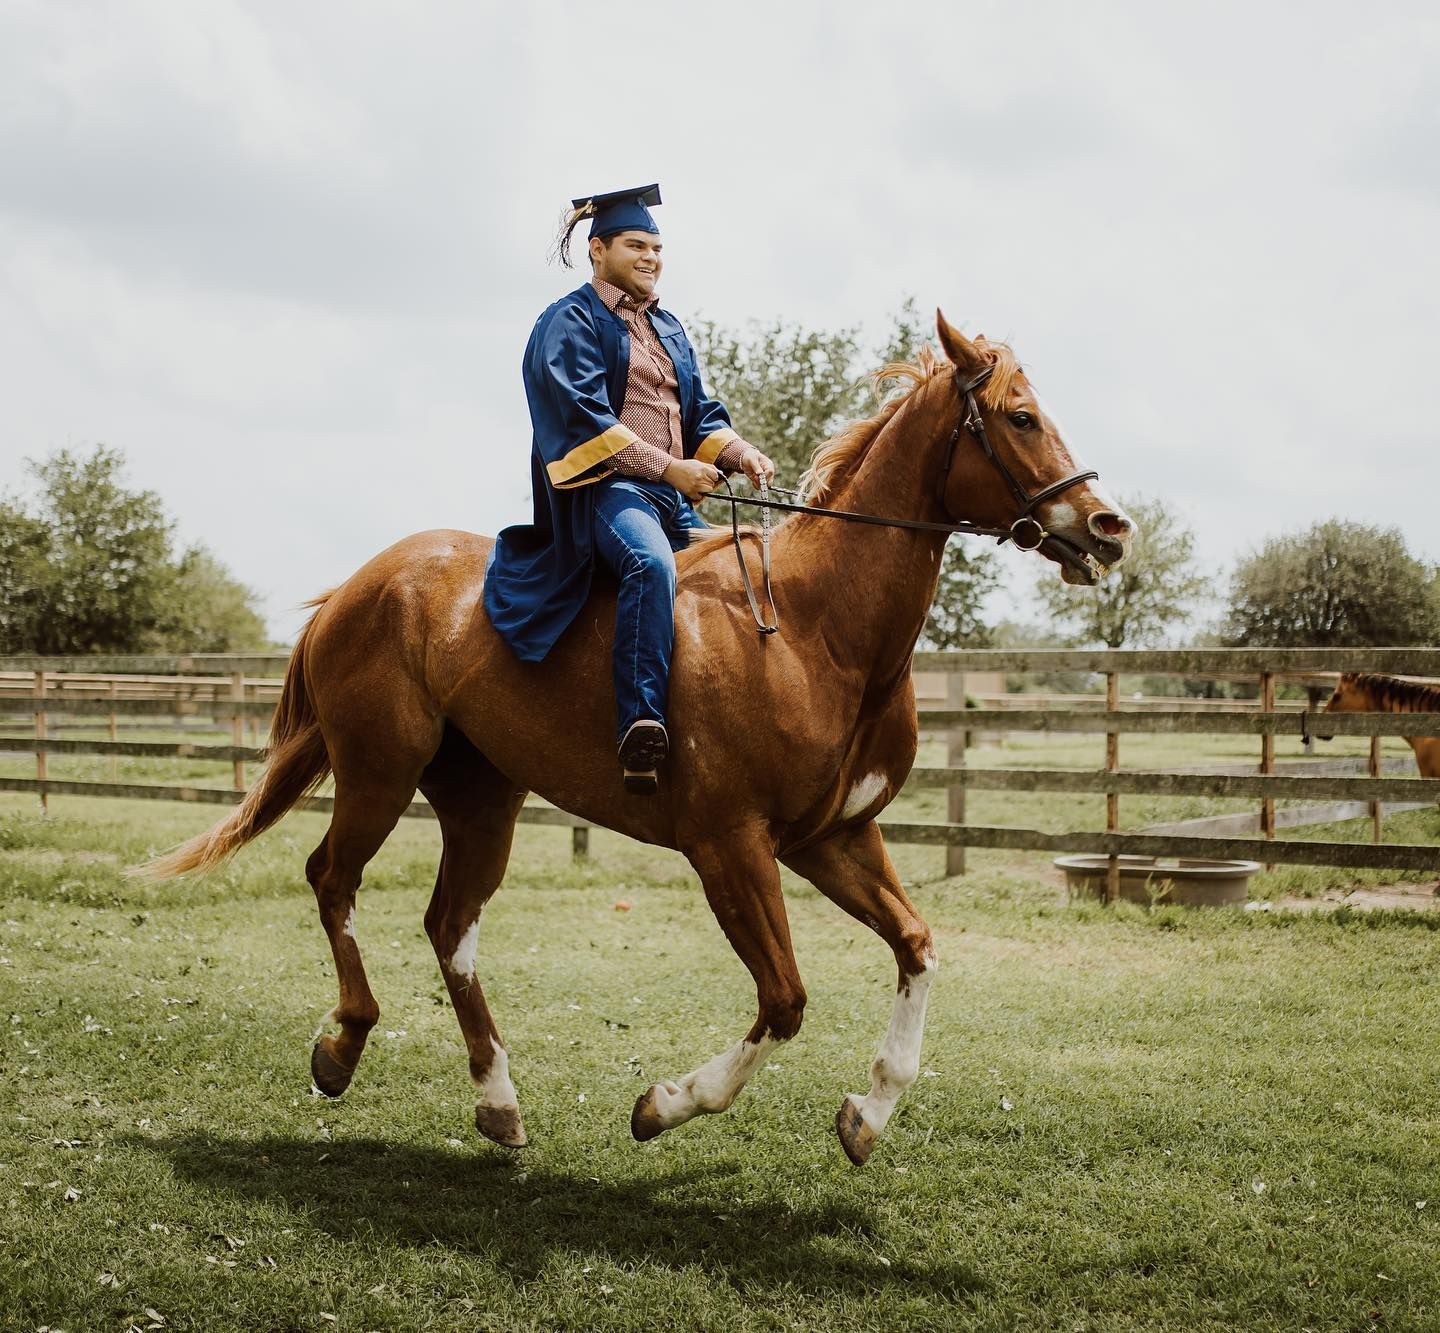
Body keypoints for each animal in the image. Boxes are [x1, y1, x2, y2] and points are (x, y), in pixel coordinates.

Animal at [141, 313, 1134, 1165]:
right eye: (1020, 416)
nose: (1108, 526)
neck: (813, 628)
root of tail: (356, 586)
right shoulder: (731, 846)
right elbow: (785, 997)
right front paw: (665, 1103)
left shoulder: (833, 837)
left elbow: (918, 946)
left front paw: (869, 1111)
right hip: (379, 772)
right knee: (332, 880)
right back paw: (342, 1046)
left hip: (481, 797)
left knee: (449, 926)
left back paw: (498, 1102)